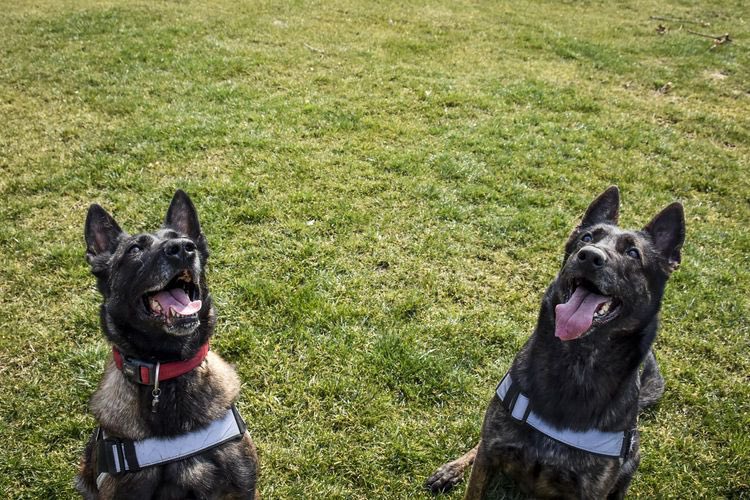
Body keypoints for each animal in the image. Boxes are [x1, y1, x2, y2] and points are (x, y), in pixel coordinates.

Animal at [426, 188, 684, 500]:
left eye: (633, 253)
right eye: (587, 238)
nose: (589, 256)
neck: (575, 360)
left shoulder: (591, 491)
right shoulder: (491, 451)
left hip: (633, 457)